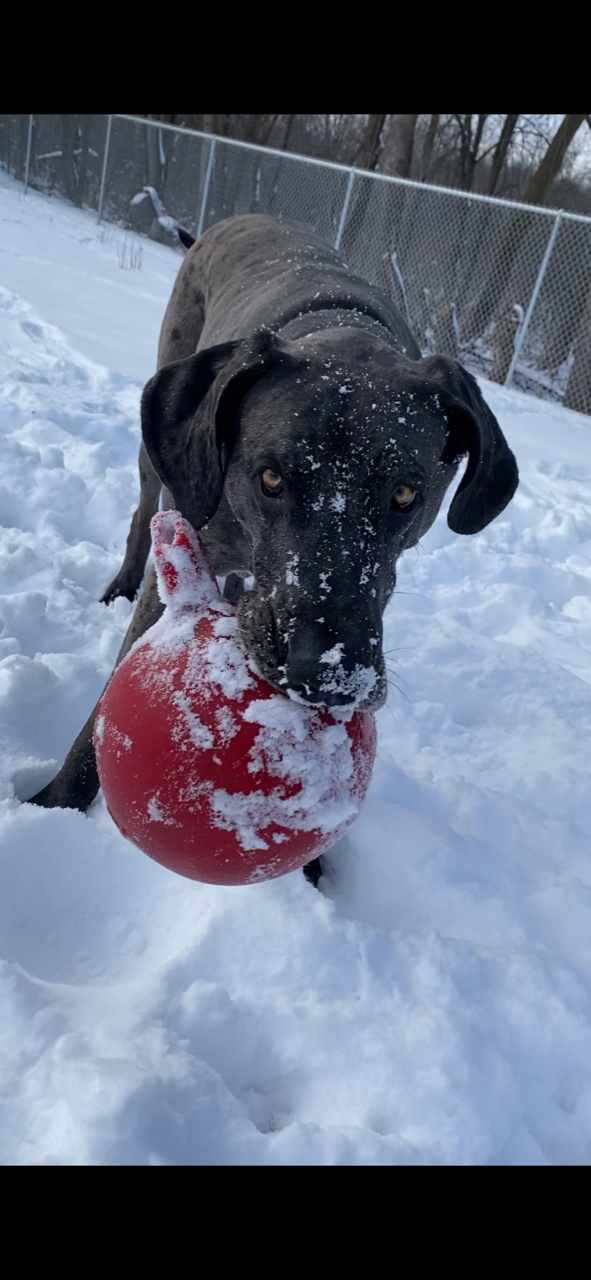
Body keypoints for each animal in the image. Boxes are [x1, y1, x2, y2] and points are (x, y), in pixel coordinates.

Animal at [32, 217, 516, 880]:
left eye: (406, 493)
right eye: (270, 478)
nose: (326, 676)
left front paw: (313, 871)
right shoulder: (186, 550)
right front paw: (49, 807)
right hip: (160, 442)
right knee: (140, 511)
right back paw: (120, 584)